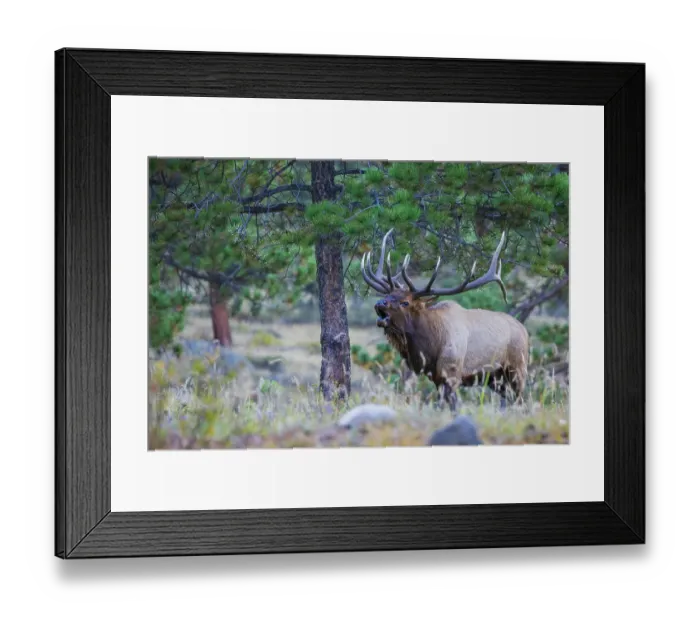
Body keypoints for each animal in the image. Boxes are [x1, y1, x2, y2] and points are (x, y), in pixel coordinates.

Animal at [360, 228, 529, 411]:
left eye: (405, 302)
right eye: (387, 295)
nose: (379, 304)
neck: (431, 346)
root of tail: (525, 331)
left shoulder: (451, 373)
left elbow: (450, 406)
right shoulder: (436, 377)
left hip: (517, 368)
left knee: (520, 399)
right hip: (495, 378)